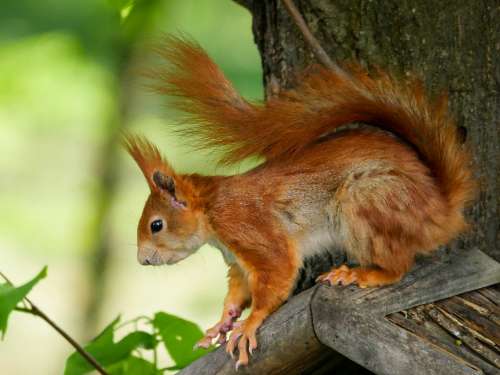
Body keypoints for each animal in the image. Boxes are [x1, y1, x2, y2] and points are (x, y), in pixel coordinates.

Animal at [123, 37, 474, 368]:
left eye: (156, 225)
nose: (142, 260)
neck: (211, 213)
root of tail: (440, 210)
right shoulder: (236, 260)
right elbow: (238, 292)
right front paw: (222, 323)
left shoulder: (248, 227)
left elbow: (277, 276)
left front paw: (249, 324)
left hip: (367, 199)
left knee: (399, 267)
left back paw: (362, 275)